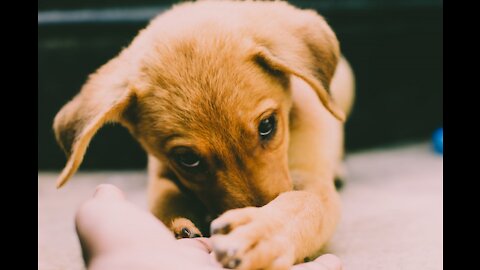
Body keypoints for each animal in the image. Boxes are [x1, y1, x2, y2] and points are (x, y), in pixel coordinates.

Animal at [52, 1, 354, 268]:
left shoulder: (311, 176)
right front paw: (179, 229)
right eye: (187, 159)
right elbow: (165, 201)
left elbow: (304, 201)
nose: (257, 209)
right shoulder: (162, 174)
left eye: (267, 125)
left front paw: (260, 233)